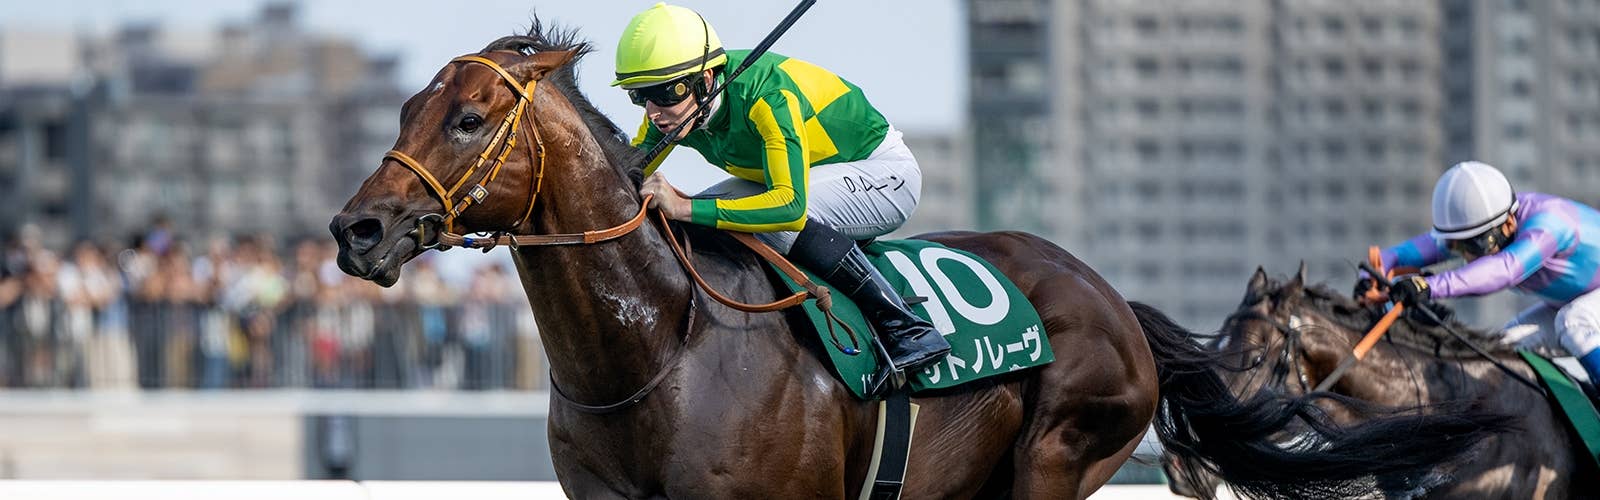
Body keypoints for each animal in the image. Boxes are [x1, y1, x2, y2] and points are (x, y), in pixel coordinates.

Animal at [328, 23, 1509, 499]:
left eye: (471, 117)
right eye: (406, 106)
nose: (359, 231)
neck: (659, 350)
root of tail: (1107, 295)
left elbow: (792, 199)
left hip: (1059, 452)